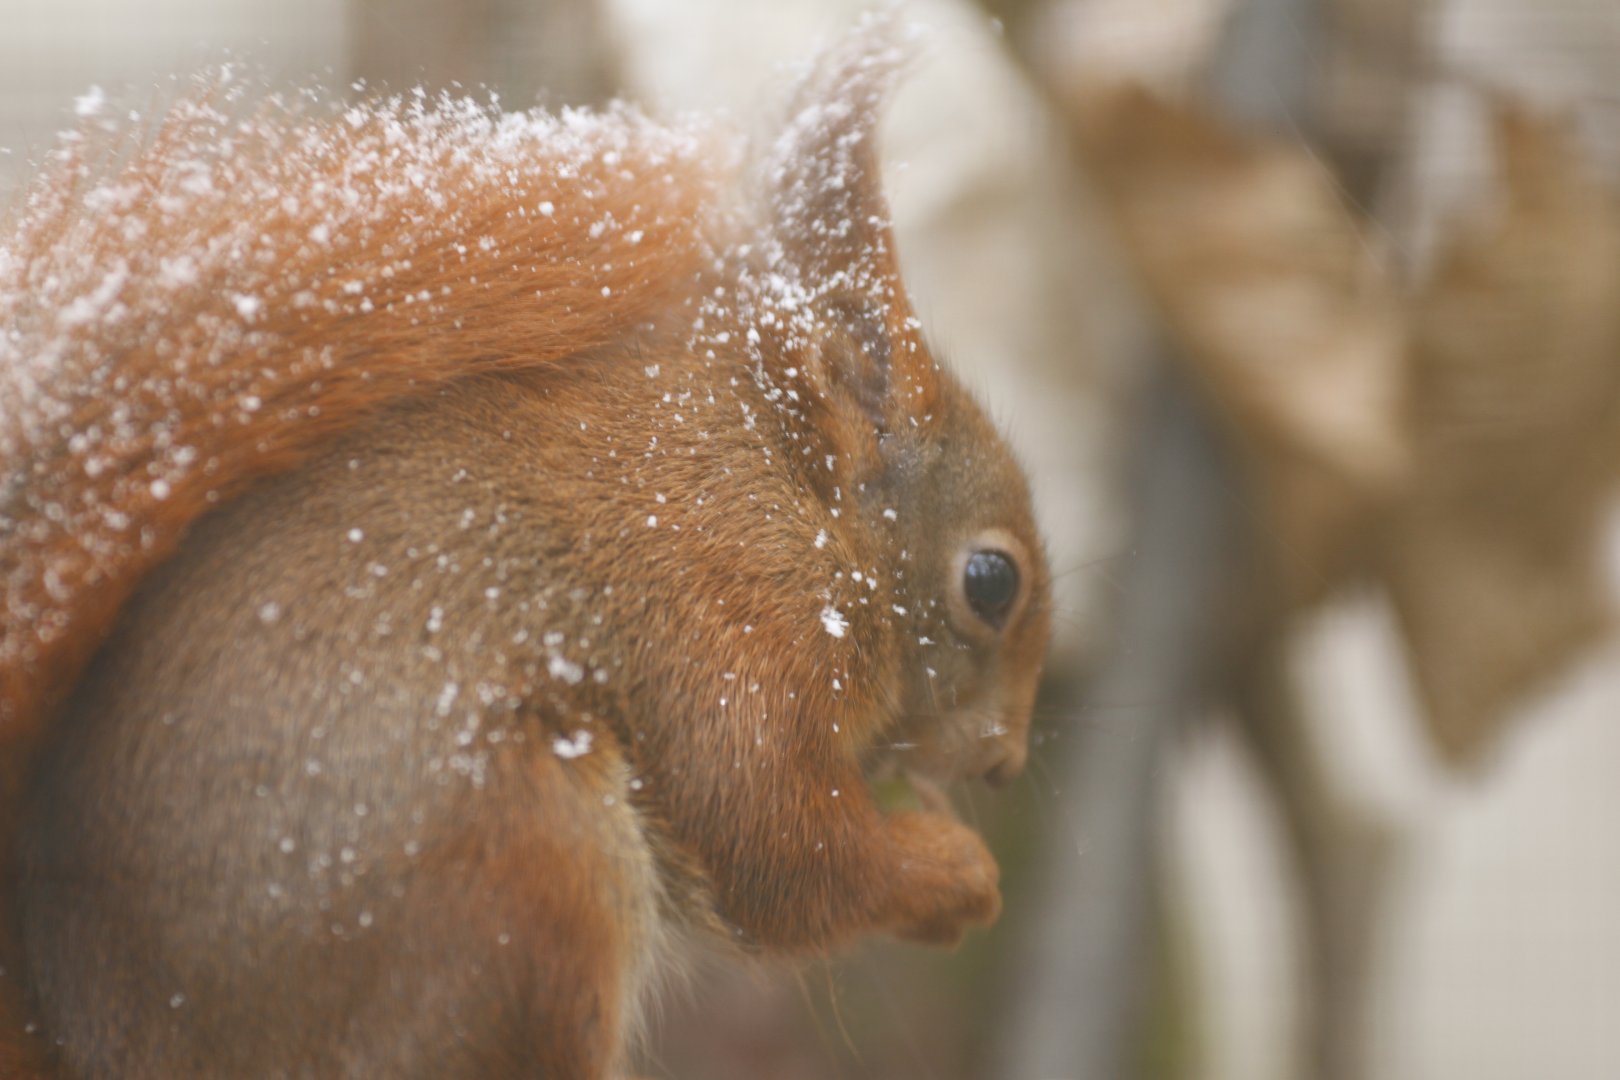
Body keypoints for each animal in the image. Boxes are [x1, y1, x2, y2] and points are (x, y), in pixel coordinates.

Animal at [0, 27, 1050, 1080]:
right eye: (990, 581)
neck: (789, 498)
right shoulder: (736, 630)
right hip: (527, 870)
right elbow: (780, 853)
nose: (1006, 765)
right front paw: (958, 875)